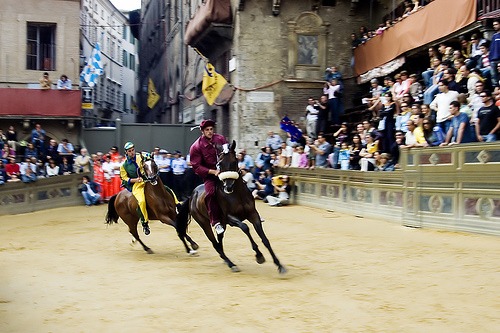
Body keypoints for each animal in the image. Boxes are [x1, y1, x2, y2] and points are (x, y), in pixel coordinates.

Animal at [178, 140, 288, 272]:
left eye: (234, 161)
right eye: (219, 164)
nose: (228, 187)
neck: (237, 194)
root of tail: (192, 196)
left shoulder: (253, 214)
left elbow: (265, 240)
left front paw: (279, 265)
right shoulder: (230, 218)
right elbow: (245, 227)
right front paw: (259, 255)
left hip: (222, 224)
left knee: (219, 240)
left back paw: (226, 260)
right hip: (205, 223)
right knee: (215, 243)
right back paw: (231, 264)